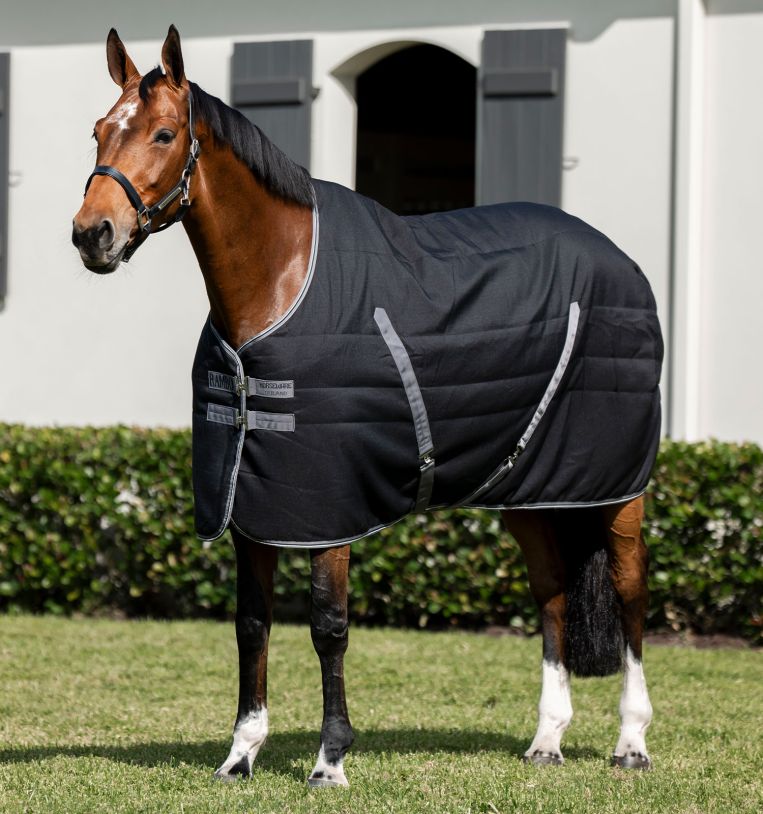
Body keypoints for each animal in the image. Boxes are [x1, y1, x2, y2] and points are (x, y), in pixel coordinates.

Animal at [72, 26, 661, 786]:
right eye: (98, 131)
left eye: (165, 133)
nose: (93, 234)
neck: (280, 283)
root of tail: (621, 261)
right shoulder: (250, 504)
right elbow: (252, 625)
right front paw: (241, 754)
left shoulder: (327, 508)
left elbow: (328, 627)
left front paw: (329, 759)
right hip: (530, 490)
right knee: (553, 591)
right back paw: (547, 739)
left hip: (618, 488)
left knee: (629, 593)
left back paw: (631, 742)